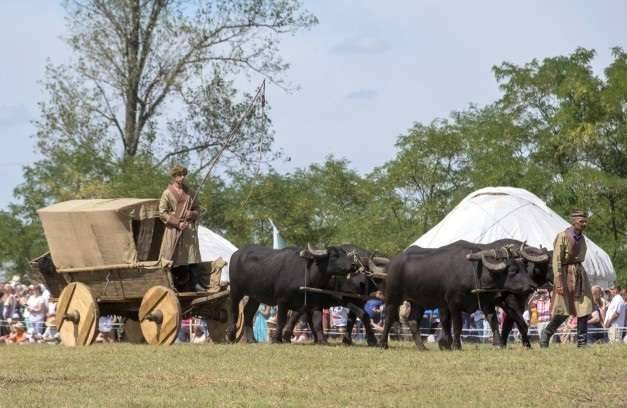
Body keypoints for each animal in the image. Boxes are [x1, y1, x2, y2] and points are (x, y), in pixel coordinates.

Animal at [226, 244, 358, 342]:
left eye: (345, 254)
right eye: (334, 255)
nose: (353, 265)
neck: (307, 275)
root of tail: (236, 254)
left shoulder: (311, 304)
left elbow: (315, 322)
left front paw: (322, 340)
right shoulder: (282, 301)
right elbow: (281, 320)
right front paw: (277, 339)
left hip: (255, 296)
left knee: (248, 313)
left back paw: (252, 339)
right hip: (236, 290)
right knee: (233, 309)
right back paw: (231, 335)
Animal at [380, 242, 536, 350]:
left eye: (524, 268)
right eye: (513, 271)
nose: (533, 286)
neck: (474, 272)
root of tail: (392, 263)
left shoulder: (486, 303)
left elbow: (493, 321)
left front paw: (498, 344)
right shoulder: (453, 304)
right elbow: (457, 324)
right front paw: (456, 345)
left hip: (418, 302)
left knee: (412, 321)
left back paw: (422, 347)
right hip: (393, 298)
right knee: (388, 318)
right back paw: (383, 344)